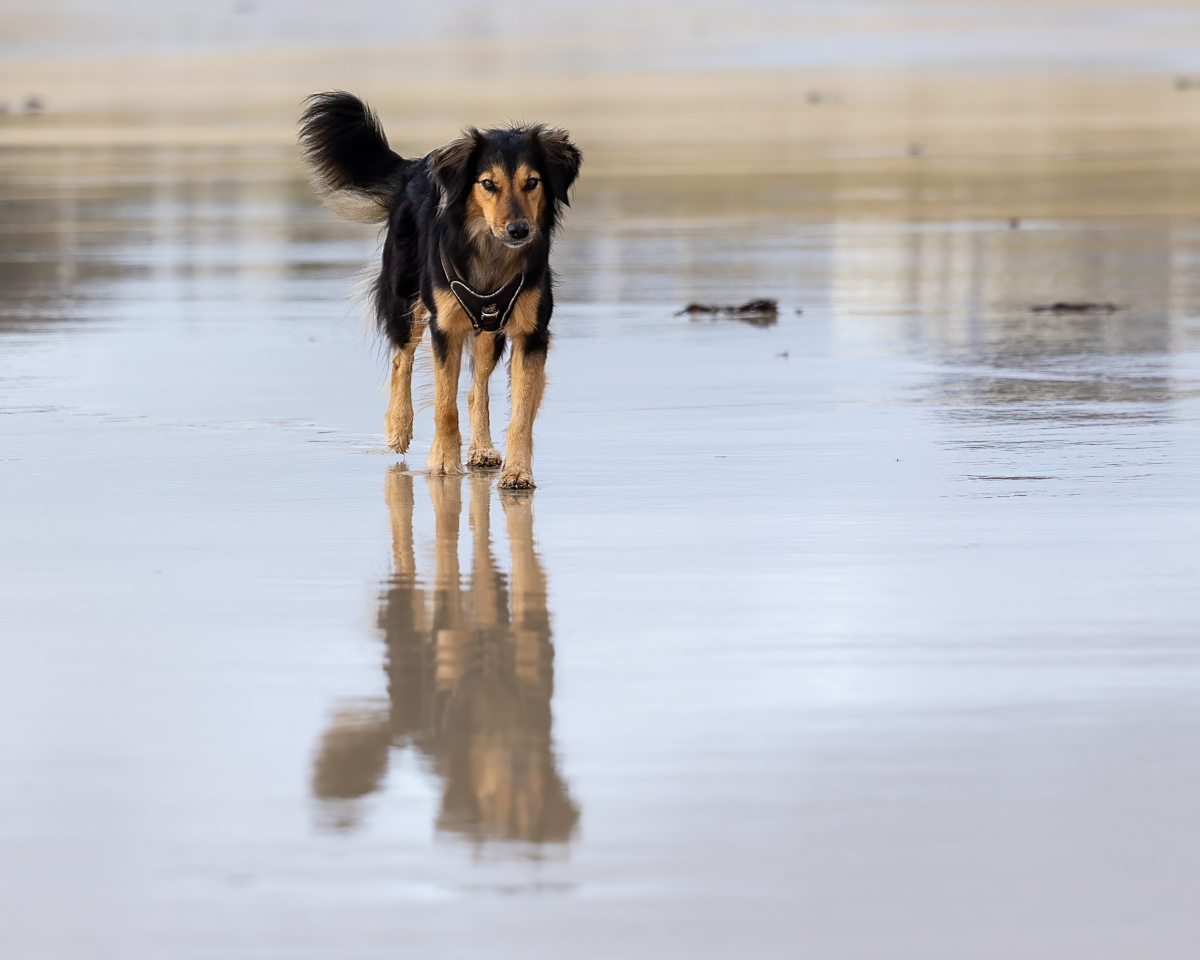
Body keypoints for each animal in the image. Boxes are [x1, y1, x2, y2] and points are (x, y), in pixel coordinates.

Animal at [297, 91, 583, 487]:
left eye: (532, 183)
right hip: (406, 296)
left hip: (489, 328)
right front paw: (444, 463)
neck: (490, 253)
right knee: (401, 357)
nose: (519, 230)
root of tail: (416, 167)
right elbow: (445, 404)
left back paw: (481, 448)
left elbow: (521, 413)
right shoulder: (445, 326)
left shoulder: (531, 333)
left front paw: (517, 471)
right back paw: (398, 427)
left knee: (477, 389)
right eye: (488, 184)